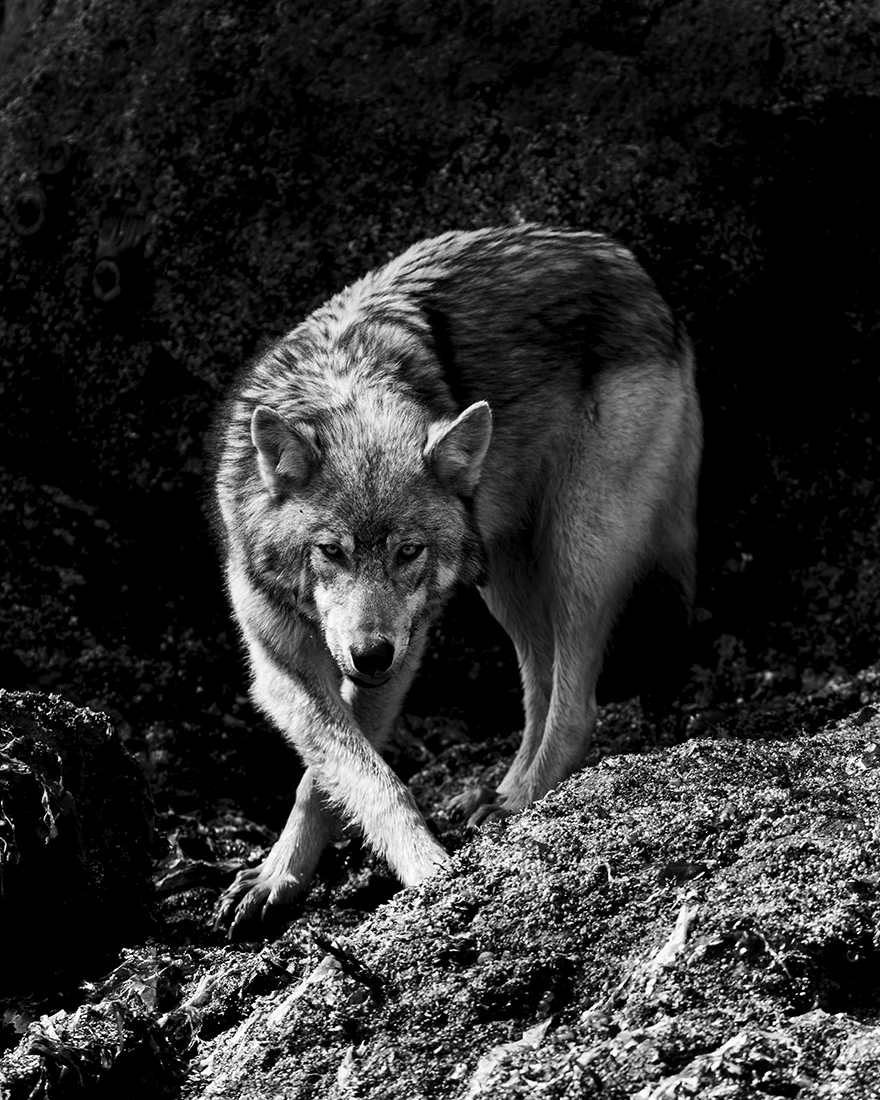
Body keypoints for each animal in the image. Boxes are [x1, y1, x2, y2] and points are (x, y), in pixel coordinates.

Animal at [211, 224, 702, 934]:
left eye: (408, 551)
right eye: (330, 551)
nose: (369, 653)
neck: (345, 385)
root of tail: (632, 266)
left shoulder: (403, 649)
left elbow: (347, 776)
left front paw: (429, 876)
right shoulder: (285, 666)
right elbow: (345, 771)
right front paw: (281, 877)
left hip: (579, 545)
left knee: (577, 702)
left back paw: (520, 801)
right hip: (504, 579)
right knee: (542, 687)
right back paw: (503, 796)